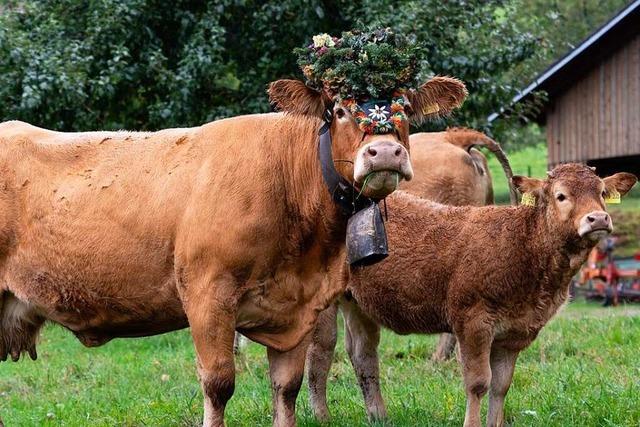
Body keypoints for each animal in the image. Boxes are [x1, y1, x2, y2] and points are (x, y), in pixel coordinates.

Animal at [0, 75, 464, 426]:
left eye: (405, 109)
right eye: (339, 111)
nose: (384, 152)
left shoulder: (299, 306)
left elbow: (287, 388)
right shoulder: (208, 294)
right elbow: (219, 383)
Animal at [304, 164, 636, 427]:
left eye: (602, 193)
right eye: (561, 196)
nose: (598, 219)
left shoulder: (514, 332)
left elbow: (501, 385)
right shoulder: (473, 322)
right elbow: (478, 383)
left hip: (358, 302)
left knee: (364, 355)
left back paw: (379, 416)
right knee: (320, 354)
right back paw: (322, 416)